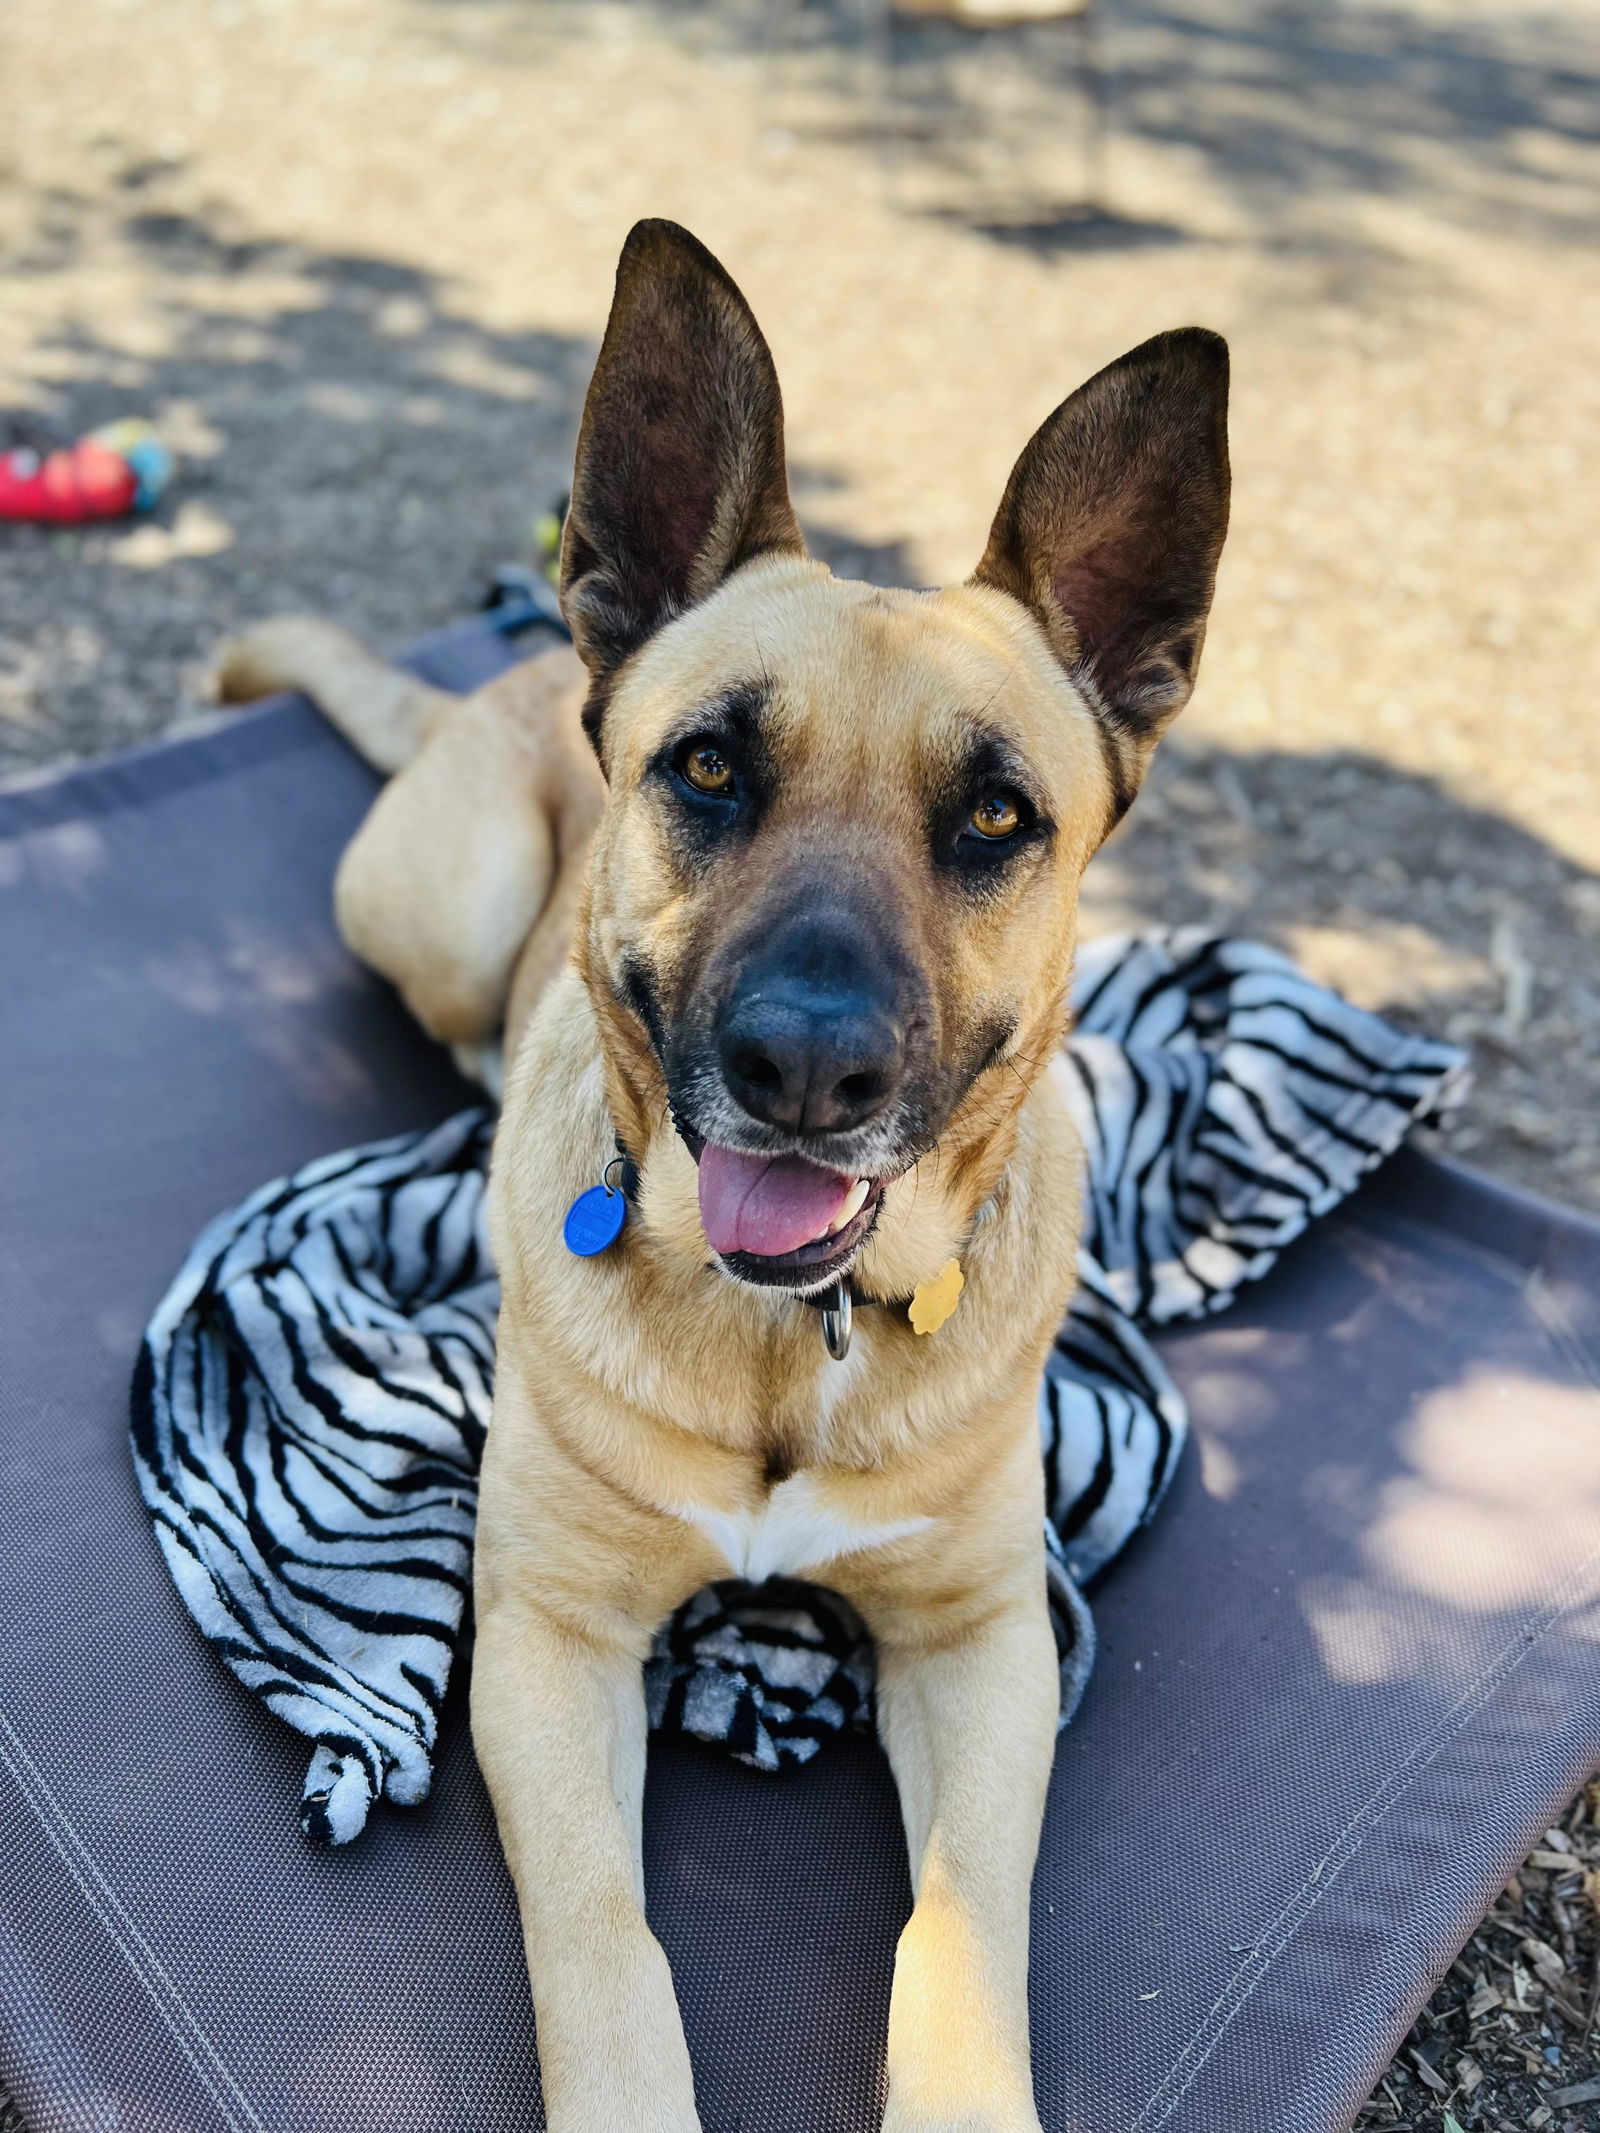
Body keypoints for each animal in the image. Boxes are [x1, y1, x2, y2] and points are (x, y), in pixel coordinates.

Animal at [219, 220, 1237, 2133]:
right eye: (706, 764)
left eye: (999, 816)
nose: (807, 1072)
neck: (793, 1339)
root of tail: (517, 660)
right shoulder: (549, 1638)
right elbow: (609, 1947)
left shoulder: (986, 1640)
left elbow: (958, 1933)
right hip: (451, 905)